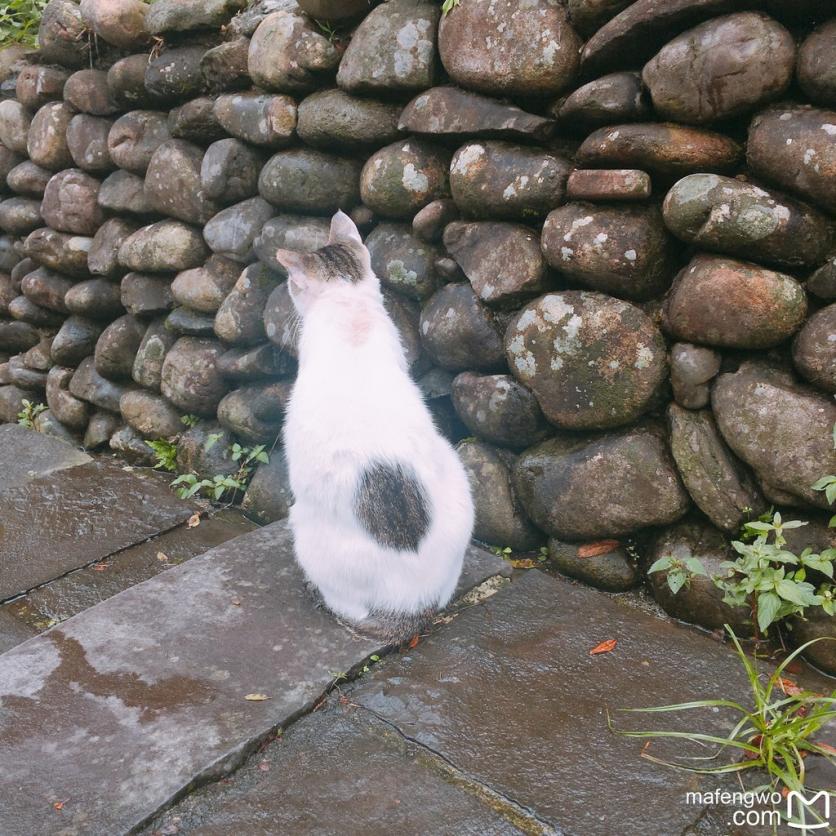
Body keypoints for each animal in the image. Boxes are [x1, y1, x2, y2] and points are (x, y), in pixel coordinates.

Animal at [276, 212, 476, 644]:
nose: (285, 289)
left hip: (302, 524)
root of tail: (410, 606)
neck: (349, 304)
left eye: (291, 282)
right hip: (458, 476)